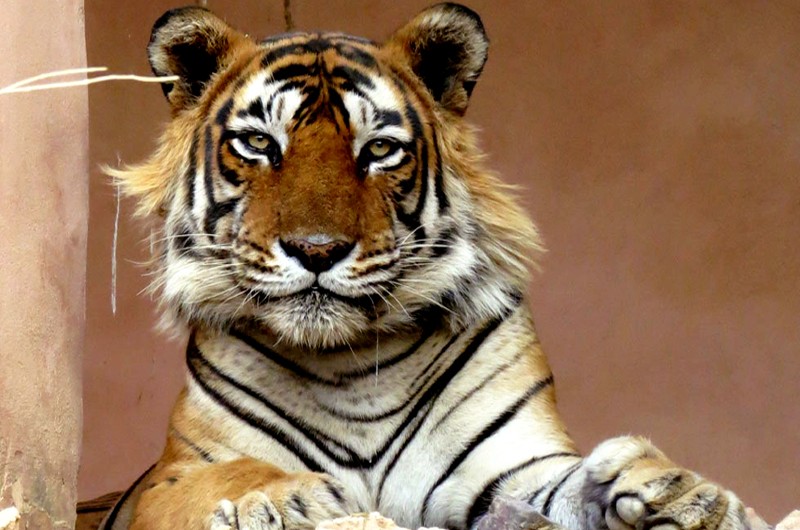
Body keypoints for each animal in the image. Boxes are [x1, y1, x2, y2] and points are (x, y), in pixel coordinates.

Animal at [95, 3, 754, 530]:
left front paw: (688, 493)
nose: (316, 249)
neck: (350, 367)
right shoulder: (170, 479)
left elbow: (569, 485)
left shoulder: (514, 466)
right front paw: (282, 499)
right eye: (259, 143)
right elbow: (227, 475)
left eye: (380, 150)